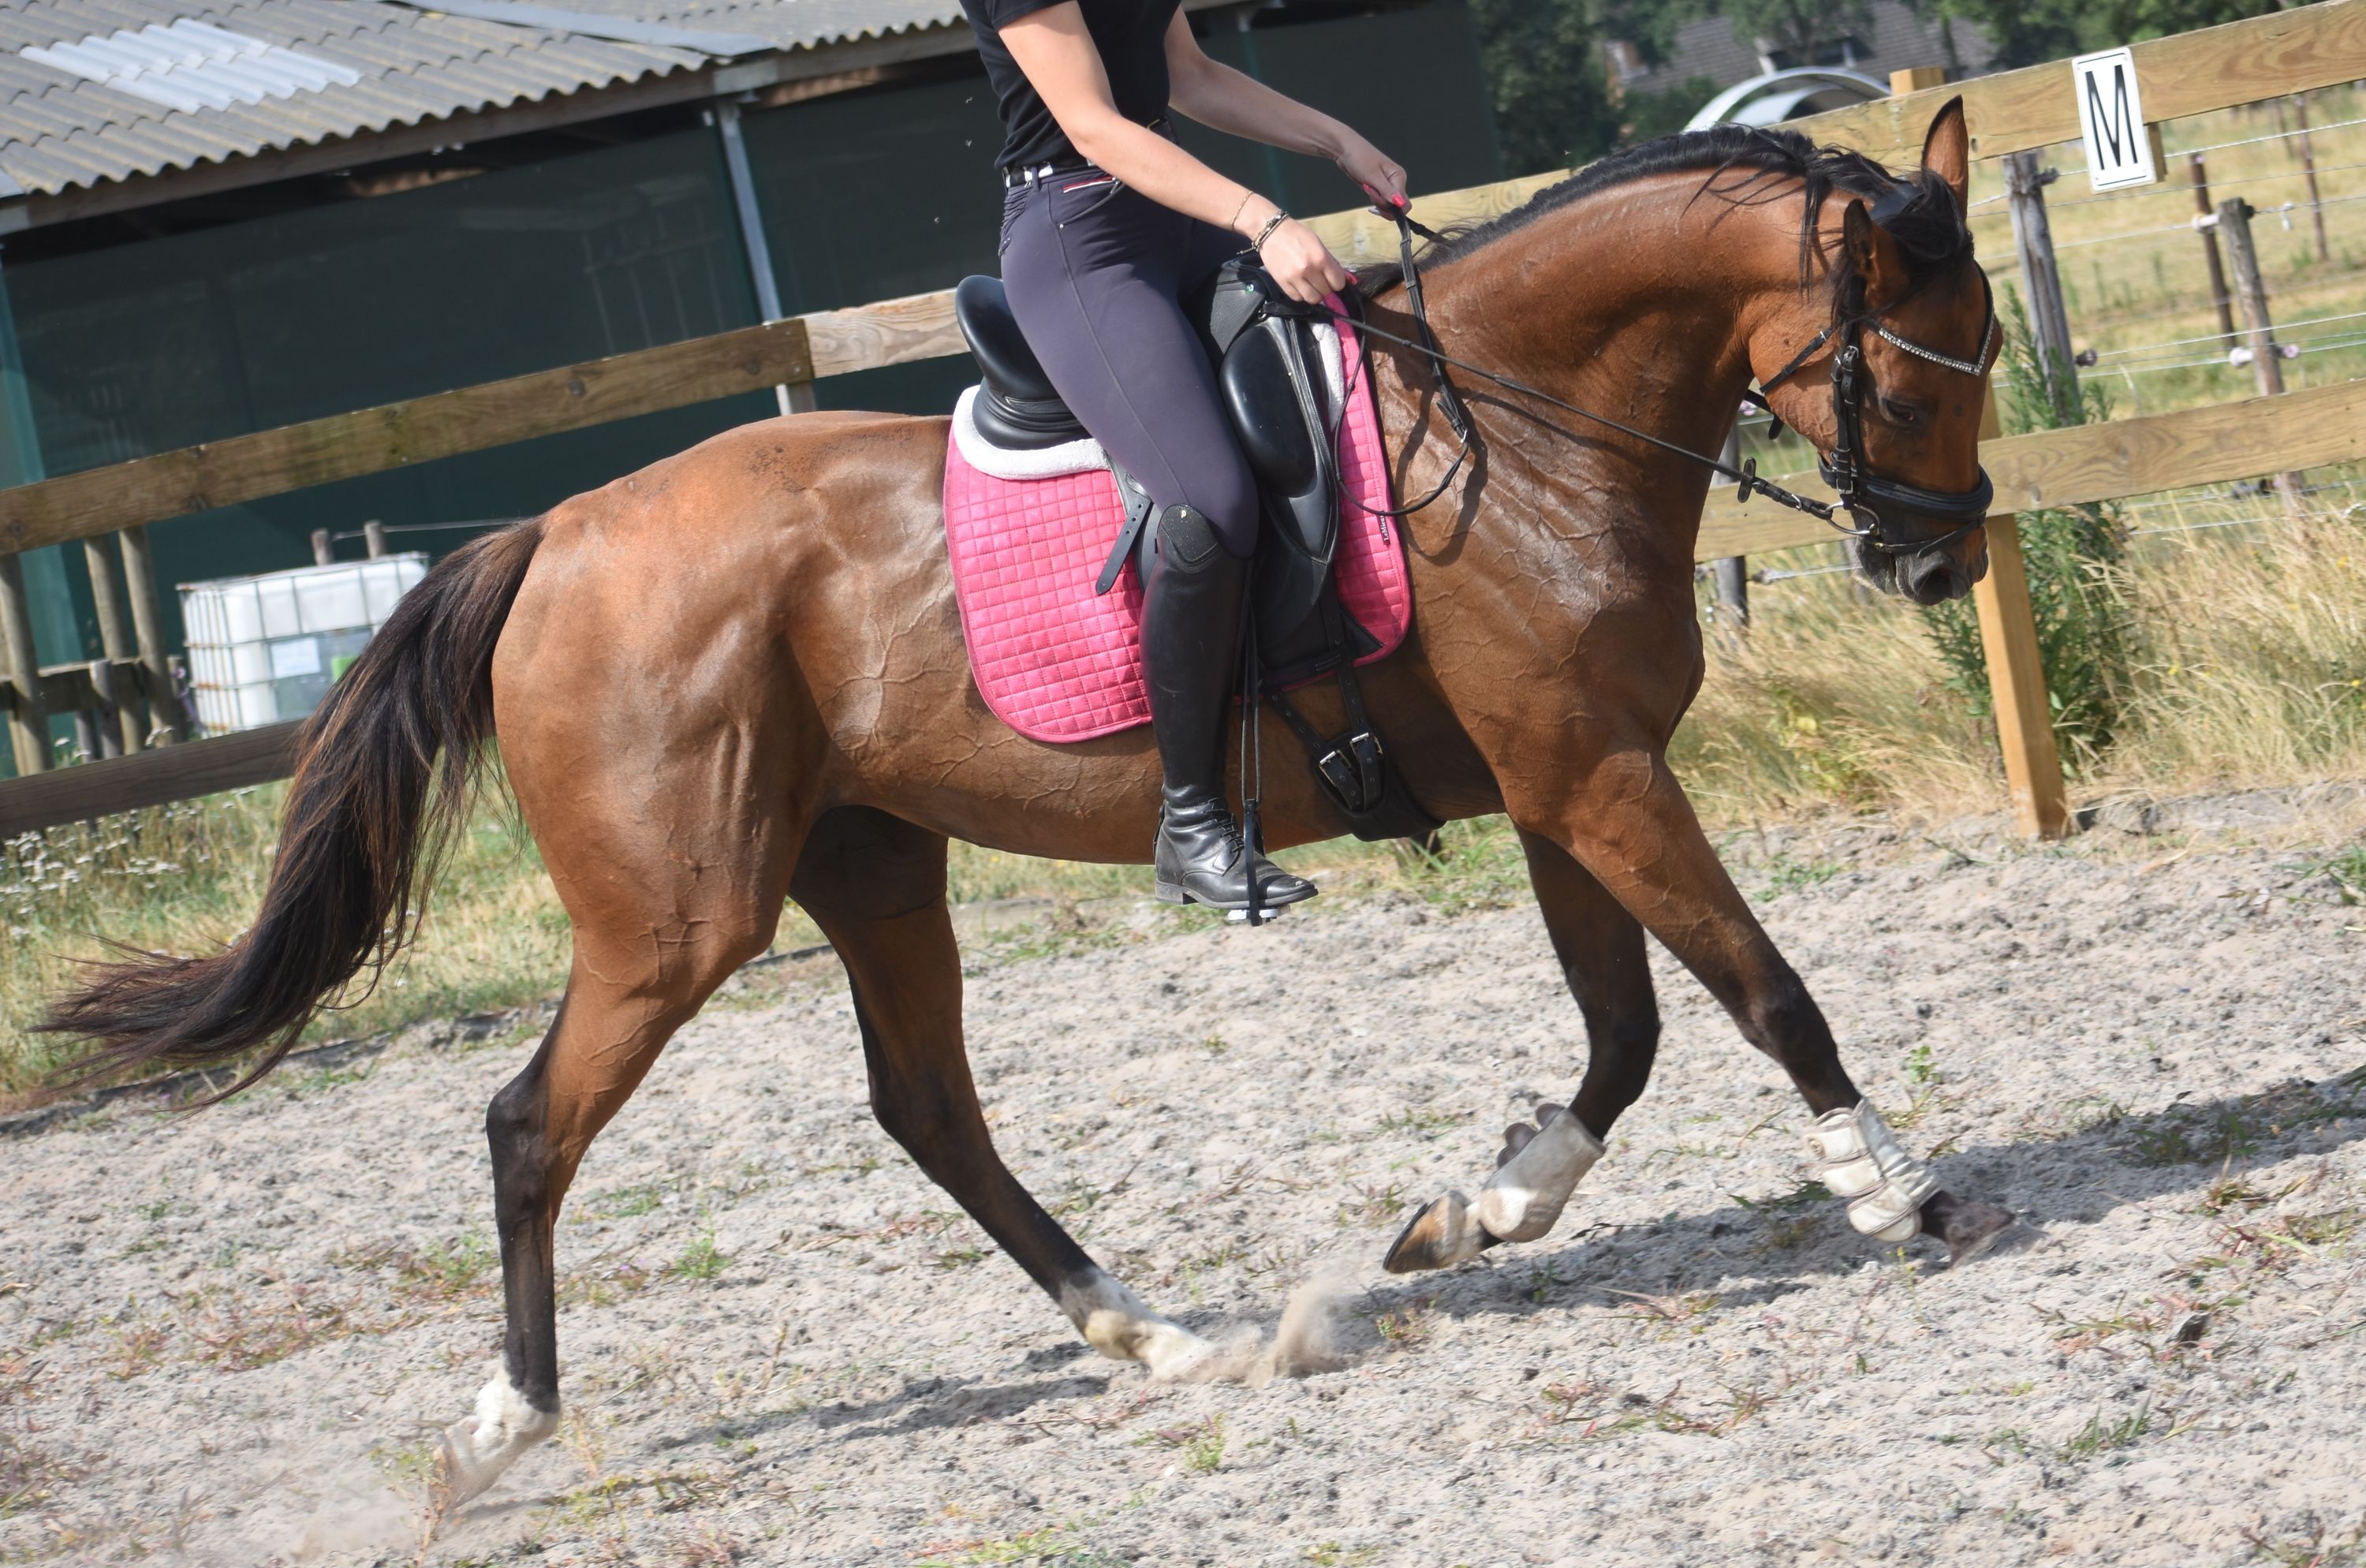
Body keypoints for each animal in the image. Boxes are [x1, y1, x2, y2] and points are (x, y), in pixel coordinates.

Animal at [47, 102, 2017, 1505]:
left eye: (1984, 347)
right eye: (1896, 367)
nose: (1934, 566)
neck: (1523, 434)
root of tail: (555, 535)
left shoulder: (1564, 786)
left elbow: (1625, 1033)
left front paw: (1482, 1209)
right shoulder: (1592, 778)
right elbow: (1763, 989)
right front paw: (1893, 1194)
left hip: (870, 867)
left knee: (929, 1110)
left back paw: (1154, 1336)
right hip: (678, 916)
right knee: (534, 1126)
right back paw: (501, 1430)